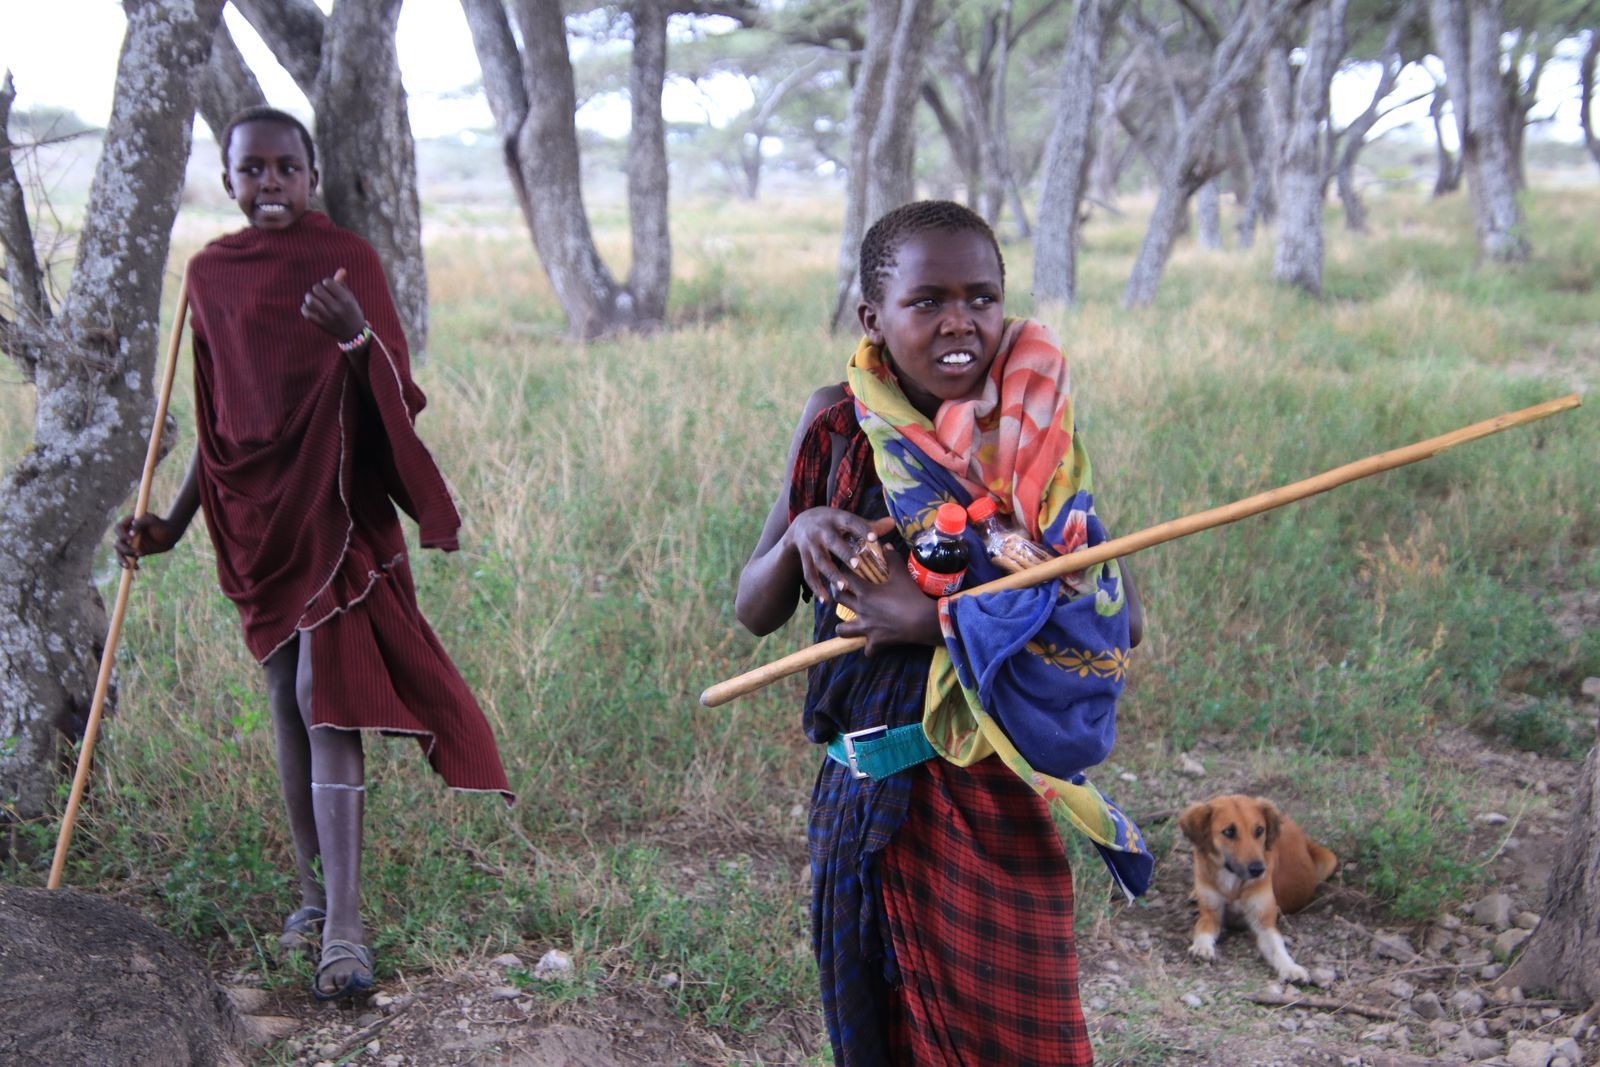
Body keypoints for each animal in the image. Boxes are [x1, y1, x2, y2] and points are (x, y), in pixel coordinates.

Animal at [1177, 793, 1337, 985]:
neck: (1233, 881)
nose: (1258, 869)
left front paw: (1291, 968)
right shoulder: (1210, 913)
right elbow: (1202, 931)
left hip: (1329, 860)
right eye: (1229, 831)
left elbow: (1277, 947)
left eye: (1259, 830)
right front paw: (1202, 948)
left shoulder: (1263, 921)